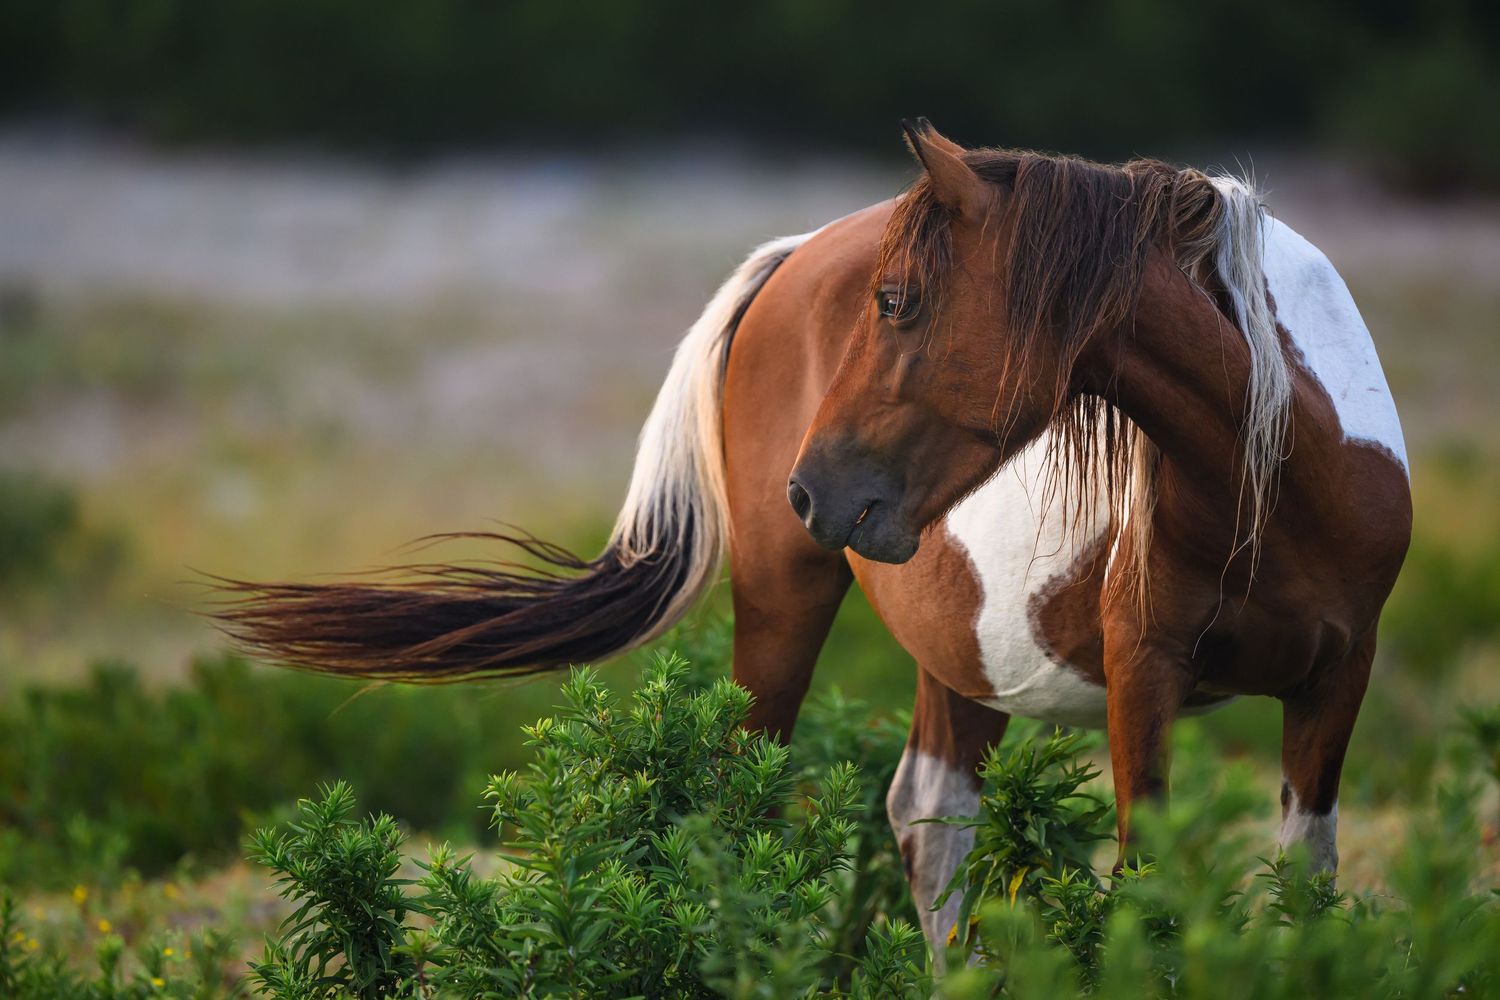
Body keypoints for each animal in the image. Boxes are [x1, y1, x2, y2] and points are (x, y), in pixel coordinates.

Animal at [215, 121, 1412, 952]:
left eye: (901, 299)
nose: (811, 490)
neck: (1271, 475)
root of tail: (794, 253)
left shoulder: (1339, 677)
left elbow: (1303, 878)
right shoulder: (1143, 667)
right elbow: (1149, 884)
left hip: (957, 654)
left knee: (931, 821)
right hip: (787, 606)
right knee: (749, 807)